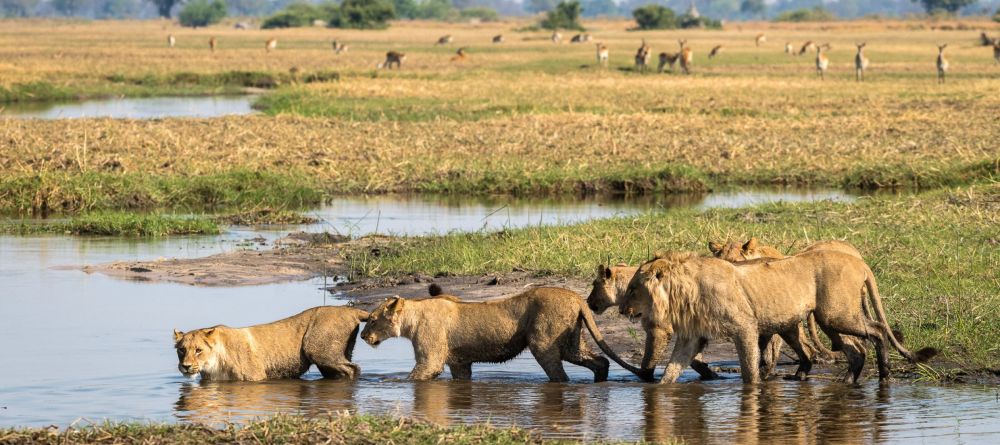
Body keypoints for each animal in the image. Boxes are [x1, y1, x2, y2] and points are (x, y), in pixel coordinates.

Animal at [174, 306, 370, 382]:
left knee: (353, 369)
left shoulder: (257, 378)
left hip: (316, 349)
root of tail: (349, 309)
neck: (213, 364)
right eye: (182, 350)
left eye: (198, 350)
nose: (186, 366)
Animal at [364, 288, 644, 382]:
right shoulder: (459, 363)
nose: (364, 337)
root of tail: (576, 296)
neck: (412, 316)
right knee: (600, 360)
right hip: (572, 344)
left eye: (373, 320)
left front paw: (390, 382)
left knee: (560, 375)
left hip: (544, 342)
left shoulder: (430, 358)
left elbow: (416, 375)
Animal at [584, 262, 720, 380]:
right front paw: (710, 374)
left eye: (594, 284)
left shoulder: (659, 329)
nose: (587, 301)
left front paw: (646, 378)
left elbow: (649, 359)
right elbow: (692, 357)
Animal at [620, 248, 932, 384]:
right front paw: (658, 393)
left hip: (837, 314)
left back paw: (885, 375)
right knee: (856, 350)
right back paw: (849, 381)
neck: (684, 290)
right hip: (828, 319)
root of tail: (860, 262)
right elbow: (671, 370)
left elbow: (750, 369)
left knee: (877, 330)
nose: (622, 309)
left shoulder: (744, 326)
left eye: (633, 288)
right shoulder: (692, 337)